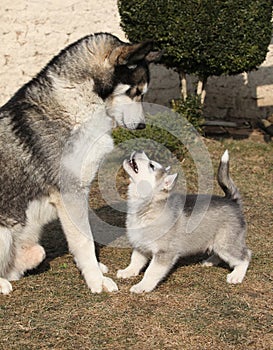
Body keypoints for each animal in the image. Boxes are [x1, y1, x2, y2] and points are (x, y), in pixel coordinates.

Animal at [0, 33, 159, 296]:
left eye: (142, 93)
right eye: (135, 92)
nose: (141, 126)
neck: (80, 104)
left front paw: (96, 269)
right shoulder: (70, 194)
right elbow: (84, 242)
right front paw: (96, 281)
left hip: (33, 250)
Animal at [118, 150, 250, 292]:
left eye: (151, 165)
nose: (139, 151)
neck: (147, 206)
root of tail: (231, 200)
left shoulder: (164, 252)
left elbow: (151, 271)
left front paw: (142, 286)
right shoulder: (140, 245)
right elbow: (135, 261)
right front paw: (127, 271)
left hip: (225, 243)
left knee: (245, 256)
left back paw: (236, 275)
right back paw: (210, 261)